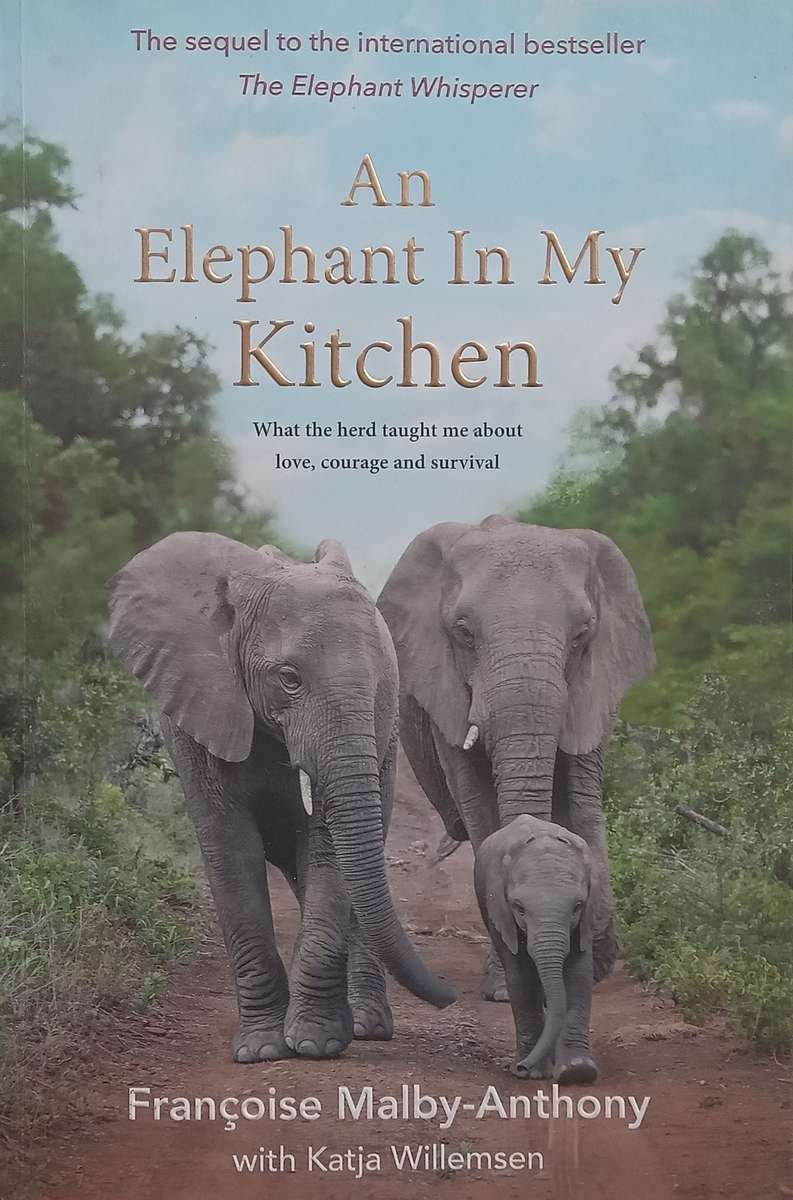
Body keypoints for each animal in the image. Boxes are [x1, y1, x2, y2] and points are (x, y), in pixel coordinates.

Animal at [107, 531, 454, 1064]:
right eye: (289, 678)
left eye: (380, 685)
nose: (450, 995)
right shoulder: (196, 713)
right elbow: (232, 854)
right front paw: (261, 1050)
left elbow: (325, 851)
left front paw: (314, 1043)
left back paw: (367, 1026)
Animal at [378, 515, 654, 1049]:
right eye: (463, 633)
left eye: (582, 633)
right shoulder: (447, 690)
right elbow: (481, 808)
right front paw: (507, 985)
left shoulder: (593, 685)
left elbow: (583, 803)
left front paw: (592, 962)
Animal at [474, 815, 596, 1082]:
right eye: (519, 908)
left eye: (577, 906)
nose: (521, 1067)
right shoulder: (500, 910)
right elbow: (521, 976)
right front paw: (532, 1074)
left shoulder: (586, 919)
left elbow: (579, 974)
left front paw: (577, 1072)